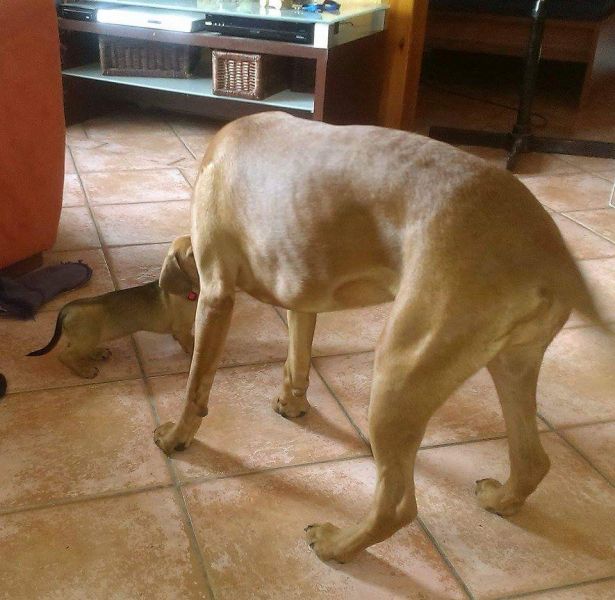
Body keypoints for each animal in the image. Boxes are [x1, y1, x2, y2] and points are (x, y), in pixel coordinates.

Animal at [29, 236, 198, 378]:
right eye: (191, 253)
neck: (189, 290)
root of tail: (67, 308)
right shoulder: (182, 329)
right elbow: (190, 344)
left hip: (84, 339)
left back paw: (97, 353)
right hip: (86, 339)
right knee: (65, 356)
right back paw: (85, 371)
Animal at [154, 112, 607, 564]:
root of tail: (549, 252)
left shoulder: (216, 296)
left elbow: (196, 385)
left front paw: (178, 436)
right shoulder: (303, 295)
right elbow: (296, 360)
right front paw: (293, 403)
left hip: (398, 374)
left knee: (398, 504)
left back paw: (337, 545)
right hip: (510, 366)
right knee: (532, 459)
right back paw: (502, 500)